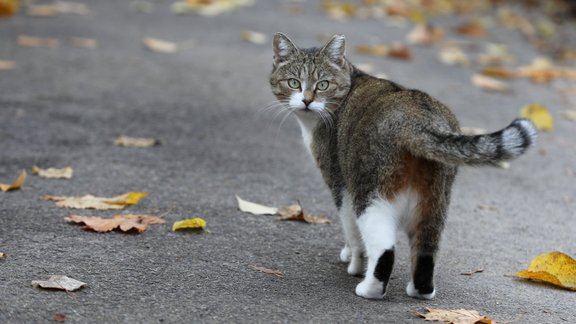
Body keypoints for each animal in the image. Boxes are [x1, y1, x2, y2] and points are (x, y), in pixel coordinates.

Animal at [268, 33, 536, 298]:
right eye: (294, 83)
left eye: (323, 84)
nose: (306, 101)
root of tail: (417, 119)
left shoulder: (340, 183)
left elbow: (352, 232)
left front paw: (354, 262)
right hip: (434, 201)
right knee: (426, 251)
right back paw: (420, 290)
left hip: (371, 193)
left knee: (385, 249)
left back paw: (369, 288)